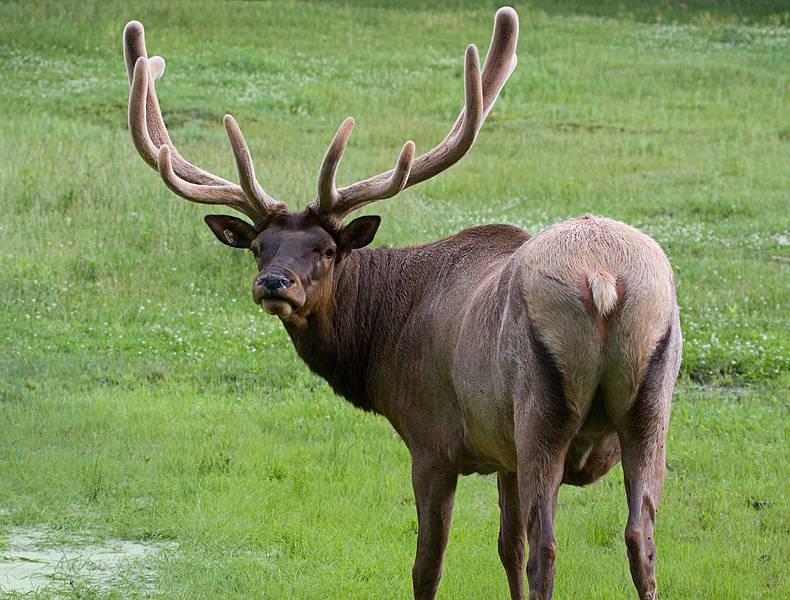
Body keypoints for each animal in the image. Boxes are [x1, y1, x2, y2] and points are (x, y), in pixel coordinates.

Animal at [124, 9, 680, 600]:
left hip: (539, 411)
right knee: (638, 538)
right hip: (651, 406)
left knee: (548, 550)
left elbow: (428, 564)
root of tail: (604, 280)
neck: (379, 342)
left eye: (327, 249)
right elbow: (507, 547)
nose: (274, 283)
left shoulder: (431, 439)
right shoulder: (501, 451)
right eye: (258, 247)